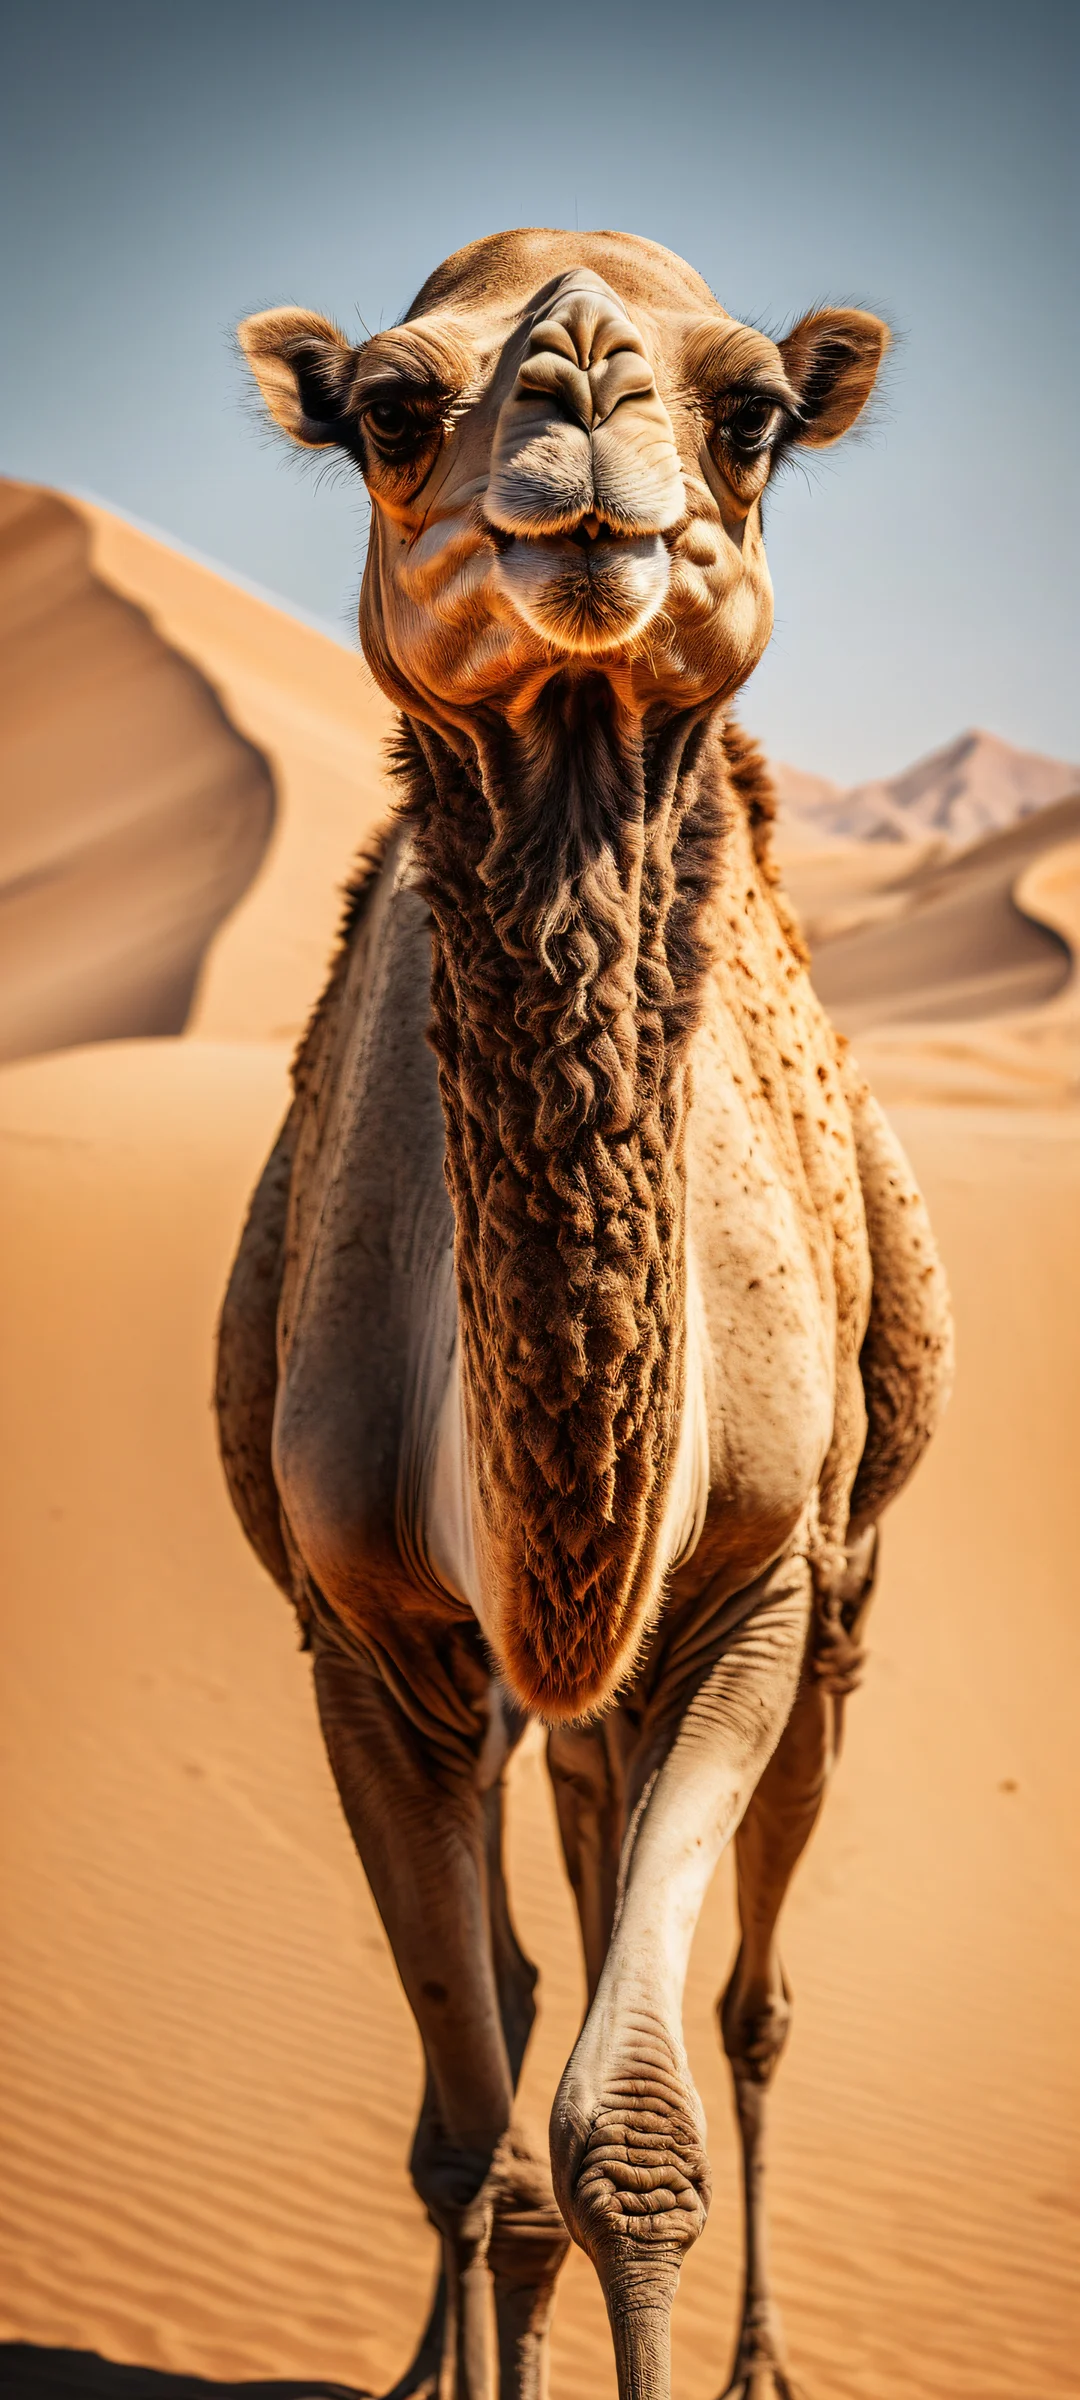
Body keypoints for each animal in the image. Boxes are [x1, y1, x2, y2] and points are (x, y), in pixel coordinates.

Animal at [216, 228, 953, 2400]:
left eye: (756, 413)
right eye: (388, 407)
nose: (586, 390)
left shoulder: (745, 1592)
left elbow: (630, 2141)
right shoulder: (369, 1638)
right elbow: (479, 2142)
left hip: (834, 1613)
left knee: (751, 2008)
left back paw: (766, 2353)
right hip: (529, 1703)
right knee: (530, 1995)